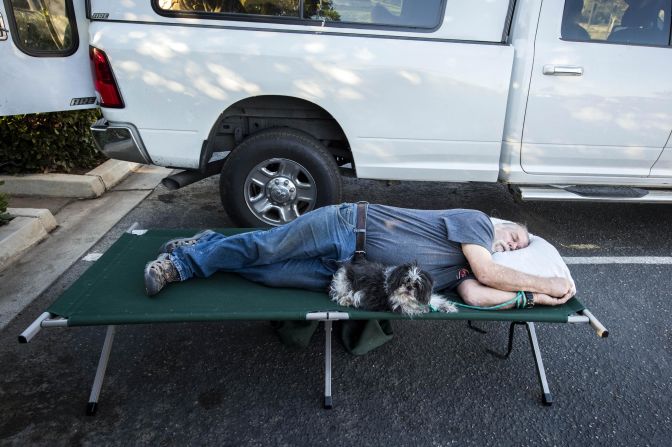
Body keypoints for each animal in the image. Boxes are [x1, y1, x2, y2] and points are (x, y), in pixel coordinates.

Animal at [326, 260, 454, 316]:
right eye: (405, 281)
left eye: (416, 285)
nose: (409, 287)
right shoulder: (397, 305)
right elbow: (413, 308)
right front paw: (425, 309)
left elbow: (434, 300)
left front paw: (447, 307)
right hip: (343, 284)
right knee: (342, 294)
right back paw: (346, 300)